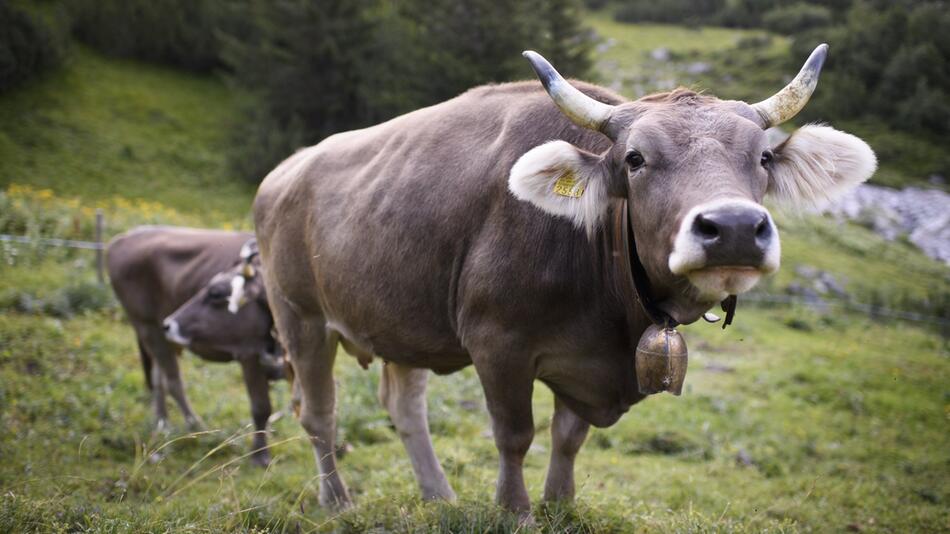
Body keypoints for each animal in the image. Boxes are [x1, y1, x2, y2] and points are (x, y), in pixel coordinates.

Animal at [106, 228, 282, 466]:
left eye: (215, 293)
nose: (171, 323)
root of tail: (125, 237)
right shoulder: (249, 354)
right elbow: (261, 407)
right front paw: (260, 456)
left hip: (163, 339)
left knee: (158, 379)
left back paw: (162, 424)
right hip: (147, 327)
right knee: (173, 382)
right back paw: (194, 426)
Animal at [251, 46, 876, 516]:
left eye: (764, 158)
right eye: (634, 159)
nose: (735, 228)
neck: (614, 316)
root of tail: (284, 171)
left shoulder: (588, 364)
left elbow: (568, 437)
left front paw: (559, 505)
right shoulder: (497, 343)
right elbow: (514, 434)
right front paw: (516, 510)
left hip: (400, 320)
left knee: (404, 407)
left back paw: (438, 496)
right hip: (300, 317)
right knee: (319, 413)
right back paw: (338, 499)